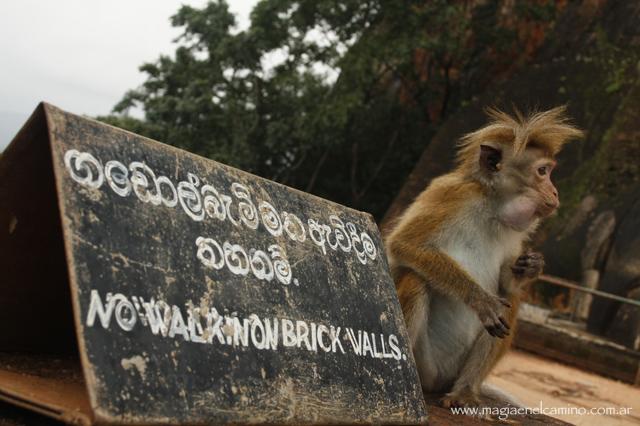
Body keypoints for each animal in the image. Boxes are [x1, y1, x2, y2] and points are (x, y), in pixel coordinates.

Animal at [382, 105, 584, 406]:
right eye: (542, 171)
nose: (555, 192)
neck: (492, 206)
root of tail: (437, 382)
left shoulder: (515, 232)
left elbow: (507, 284)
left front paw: (531, 268)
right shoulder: (452, 196)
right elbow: (404, 245)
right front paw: (481, 300)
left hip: (451, 373)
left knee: (511, 299)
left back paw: (465, 392)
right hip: (426, 363)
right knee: (416, 280)